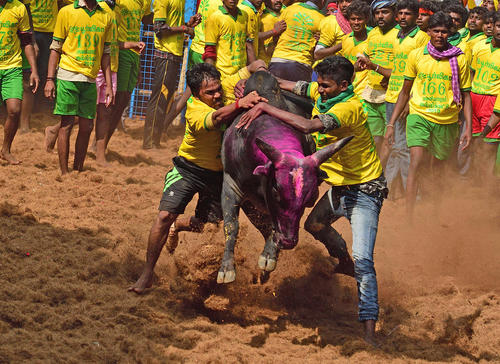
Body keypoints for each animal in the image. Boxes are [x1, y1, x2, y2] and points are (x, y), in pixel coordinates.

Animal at [217, 72, 354, 284]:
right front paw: (227, 269)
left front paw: (269, 257)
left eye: (309, 198)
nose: (288, 242)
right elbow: (232, 226)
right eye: (276, 189)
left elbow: (274, 226)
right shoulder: (231, 186)